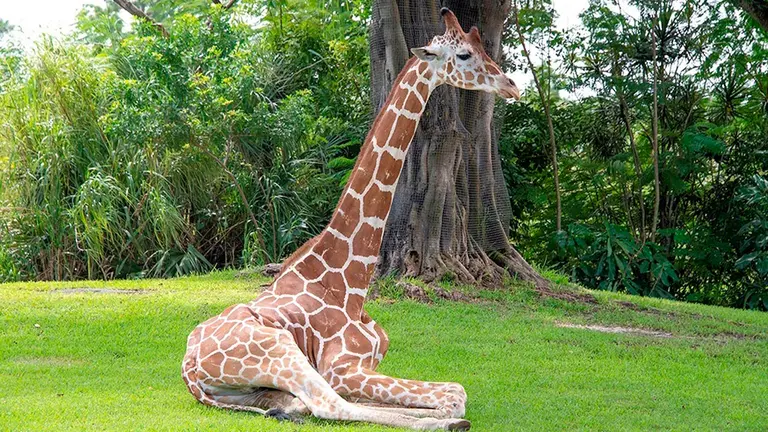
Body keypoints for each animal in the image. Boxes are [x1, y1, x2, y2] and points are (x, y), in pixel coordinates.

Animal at [181, 8, 519, 431]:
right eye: (463, 56)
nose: (511, 85)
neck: (351, 282)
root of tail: (189, 369)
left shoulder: (366, 365)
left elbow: (452, 392)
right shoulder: (342, 368)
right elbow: (456, 394)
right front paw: (443, 416)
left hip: (257, 384)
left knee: (301, 404)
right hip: (279, 347)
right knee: (329, 404)